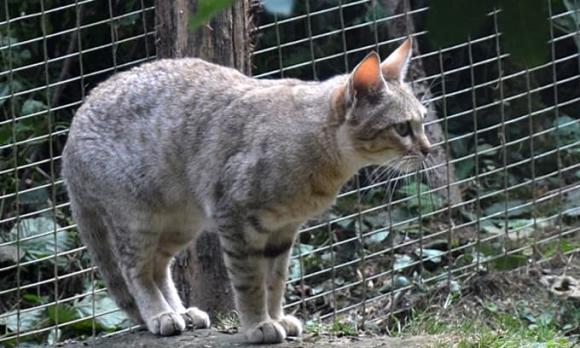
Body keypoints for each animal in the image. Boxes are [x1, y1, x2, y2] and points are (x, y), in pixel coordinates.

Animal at [61, 37, 430, 342]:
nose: (428, 149)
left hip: (181, 223)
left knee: (158, 266)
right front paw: (258, 324)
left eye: (423, 121)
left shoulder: (283, 231)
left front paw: (276, 317)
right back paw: (160, 314)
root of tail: (72, 130)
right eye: (402, 128)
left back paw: (181, 311)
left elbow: (275, 282)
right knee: (134, 269)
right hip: (139, 218)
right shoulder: (236, 219)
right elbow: (250, 283)